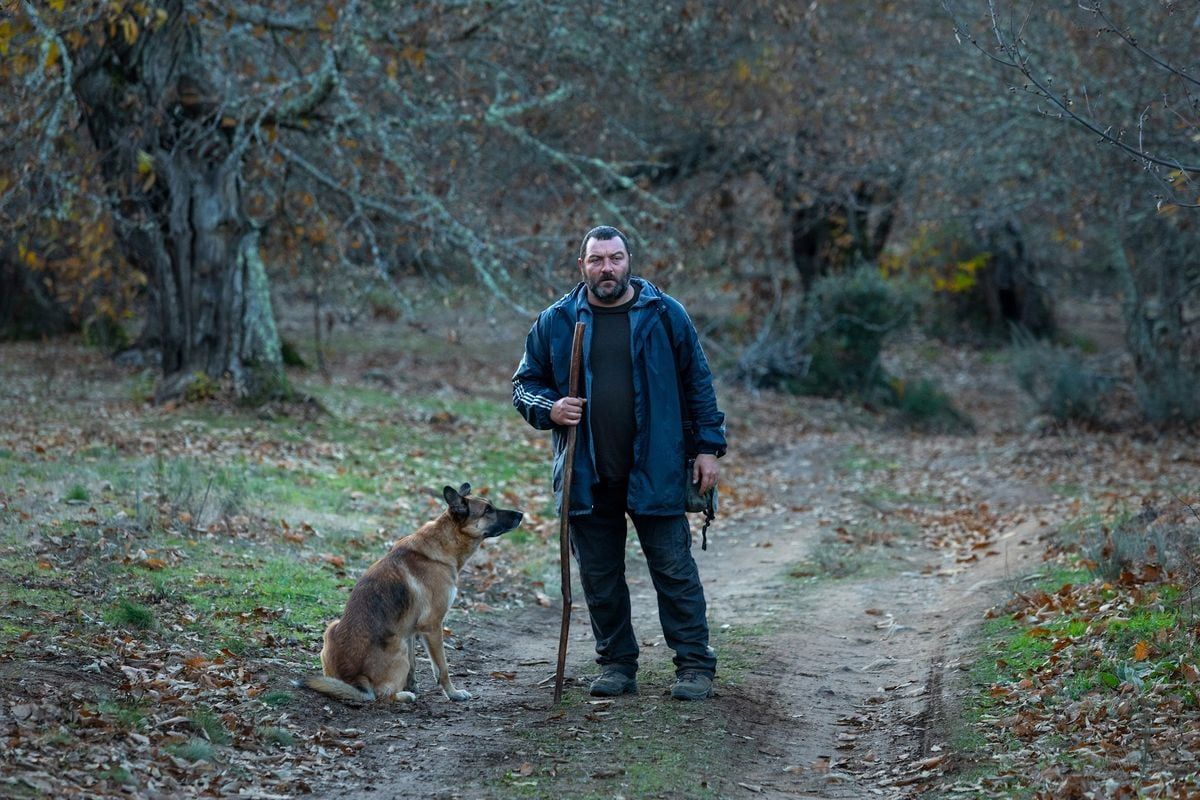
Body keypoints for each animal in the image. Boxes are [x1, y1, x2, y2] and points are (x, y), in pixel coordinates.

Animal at [294, 484, 520, 705]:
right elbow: (442, 668)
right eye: (488, 510)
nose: (521, 514)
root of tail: (354, 679)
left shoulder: (410, 630)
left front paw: (413, 686)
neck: (445, 543)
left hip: (338, 628)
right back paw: (404, 696)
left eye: (491, 505)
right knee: (381, 695)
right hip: (398, 645)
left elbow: (413, 666)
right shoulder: (432, 626)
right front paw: (453, 694)